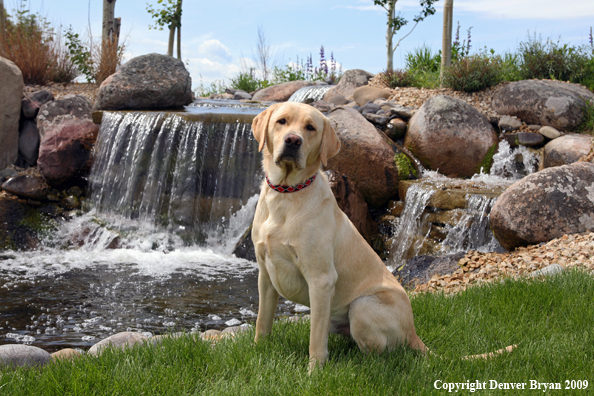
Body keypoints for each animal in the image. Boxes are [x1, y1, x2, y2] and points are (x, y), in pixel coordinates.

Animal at [247, 103, 512, 372]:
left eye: (310, 127)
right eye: (282, 121)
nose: (293, 140)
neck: (287, 194)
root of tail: (413, 332)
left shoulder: (320, 279)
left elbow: (315, 339)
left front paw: (314, 371)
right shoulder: (265, 274)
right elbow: (262, 321)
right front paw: (258, 350)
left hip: (361, 305)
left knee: (380, 357)